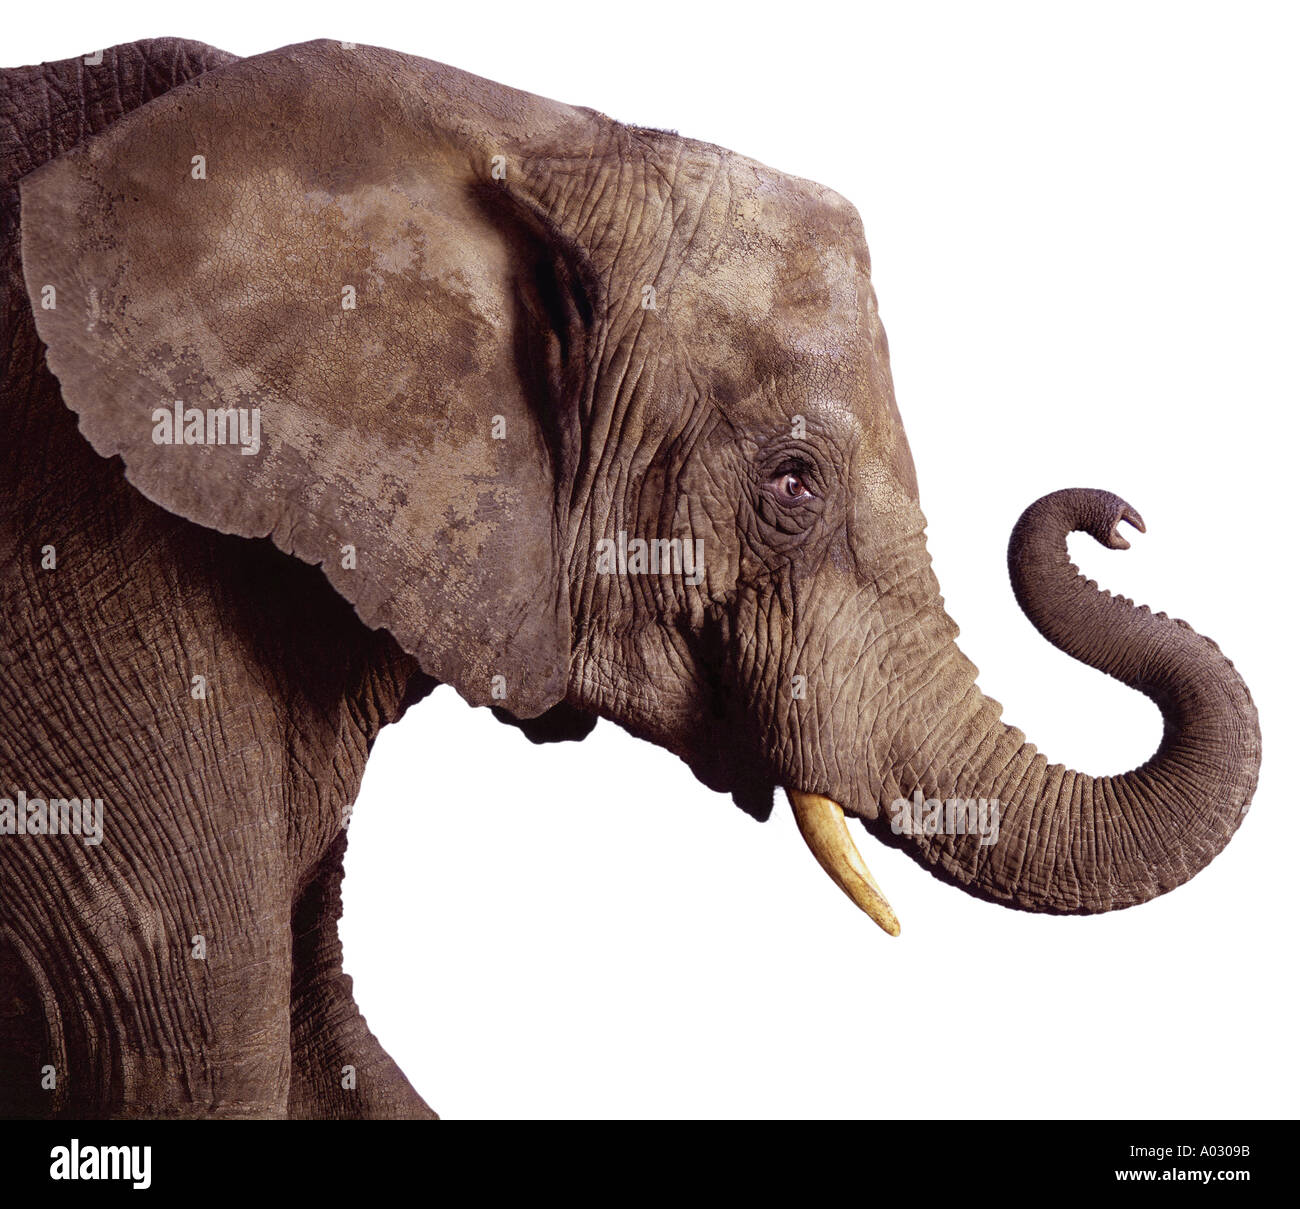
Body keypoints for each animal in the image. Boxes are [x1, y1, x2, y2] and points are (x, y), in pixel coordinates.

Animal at [0, 37, 1260, 1120]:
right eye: (792, 484)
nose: (1119, 522)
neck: (511, 134)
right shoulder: (97, 572)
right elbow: (193, 1038)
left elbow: (323, 1041)